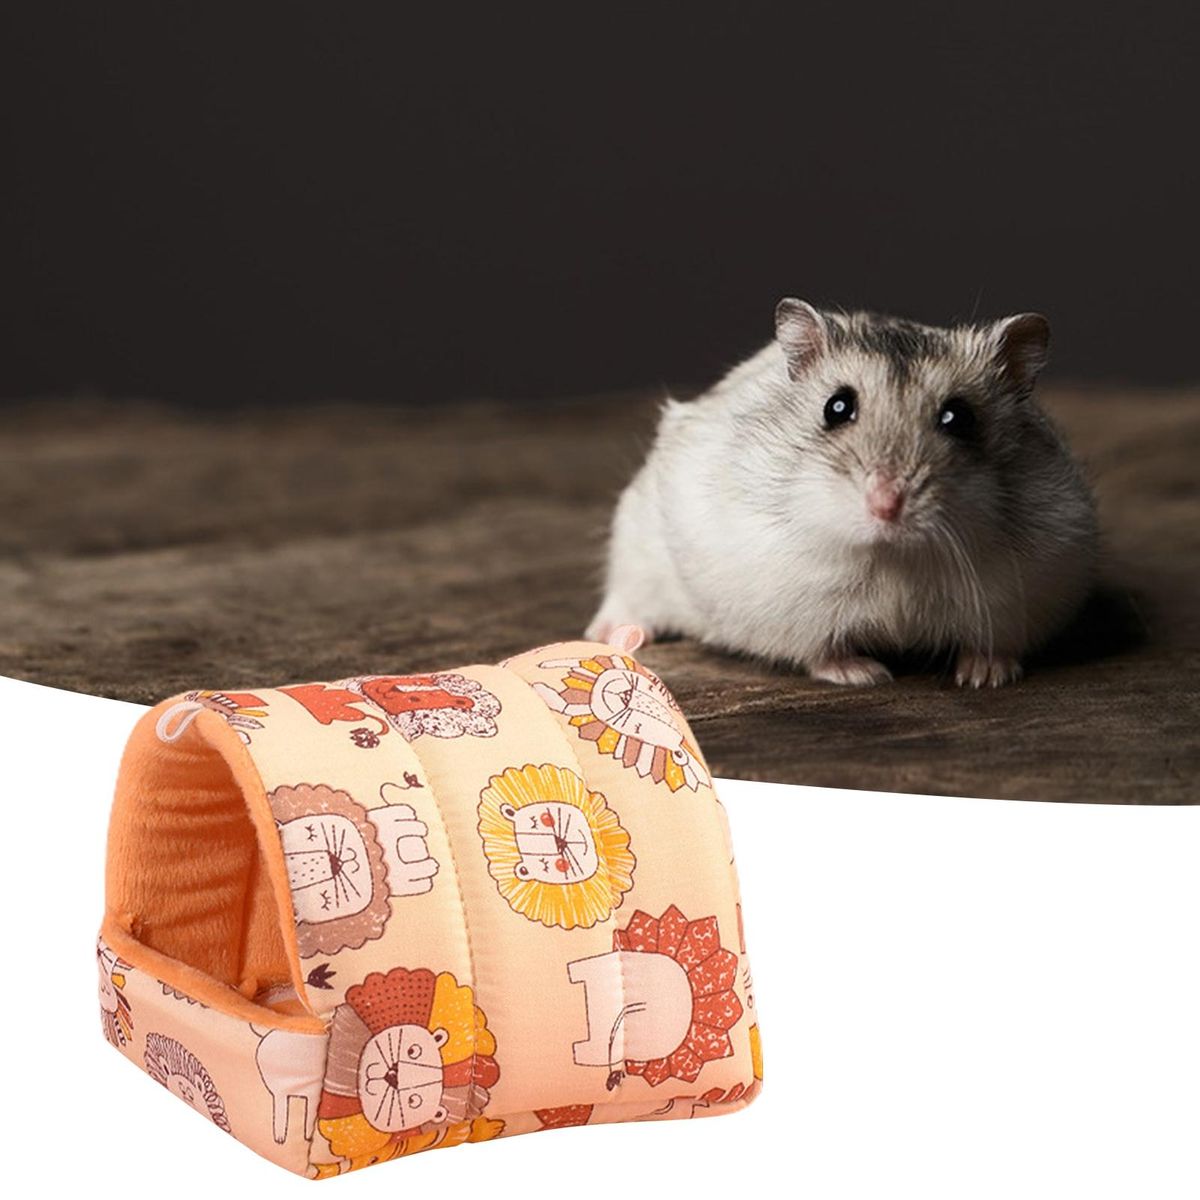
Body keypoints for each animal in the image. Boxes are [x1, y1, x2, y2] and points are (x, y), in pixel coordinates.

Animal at [588, 300, 1098, 687]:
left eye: (959, 418)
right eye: (836, 407)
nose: (886, 506)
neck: (894, 556)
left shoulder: (1034, 586)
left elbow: (994, 644)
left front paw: (983, 677)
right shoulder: (790, 611)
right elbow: (821, 649)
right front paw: (866, 675)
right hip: (635, 540)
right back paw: (613, 636)